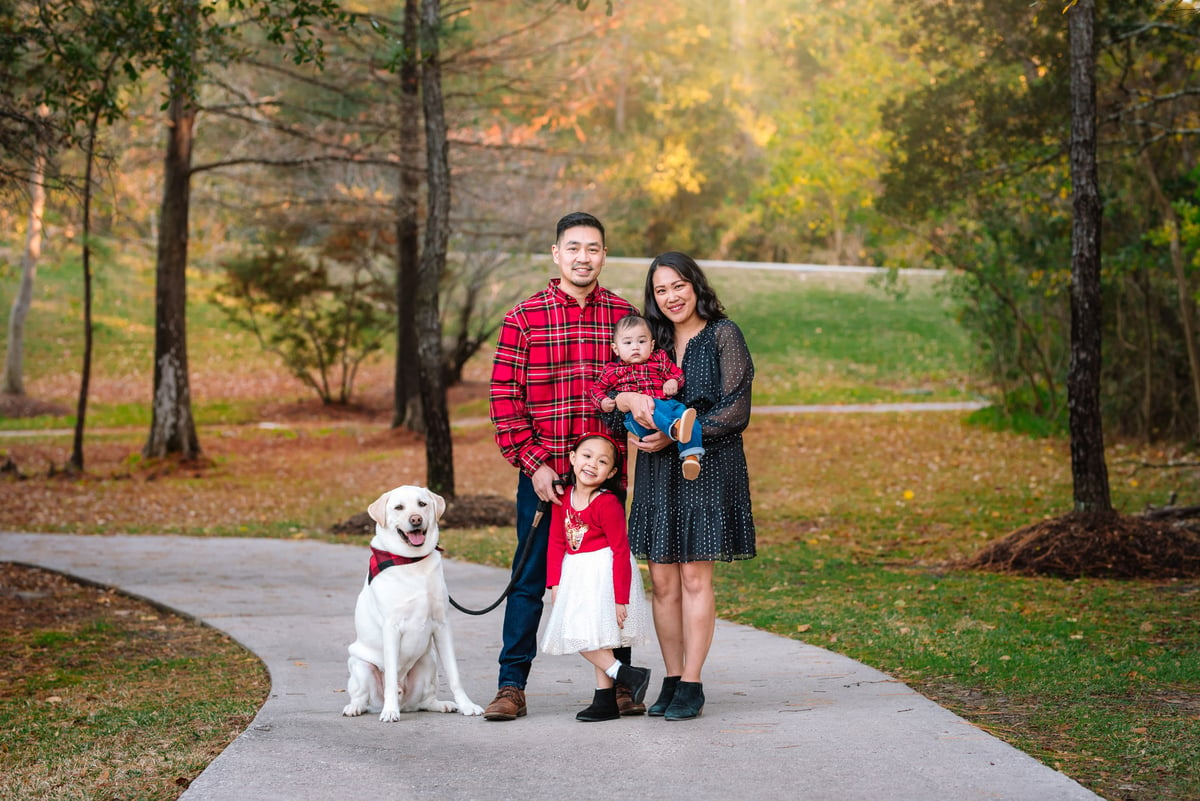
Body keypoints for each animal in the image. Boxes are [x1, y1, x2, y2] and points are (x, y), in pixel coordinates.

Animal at [340, 484, 484, 724]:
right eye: (399, 507)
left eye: (422, 504)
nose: (416, 519)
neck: (412, 561)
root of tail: (405, 703)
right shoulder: (391, 628)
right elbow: (389, 678)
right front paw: (390, 711)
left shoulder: (442, 625)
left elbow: (454, 674)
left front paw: (467, 705)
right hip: (360, 666)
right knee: (363, 696)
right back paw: (356, 707)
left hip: (428, 661)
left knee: (425, 701)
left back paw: (442, 705)